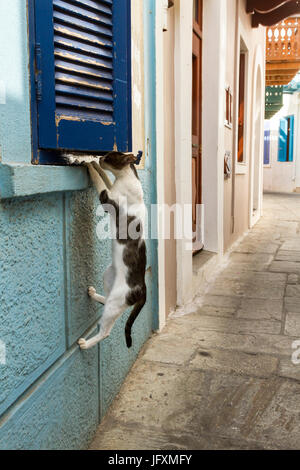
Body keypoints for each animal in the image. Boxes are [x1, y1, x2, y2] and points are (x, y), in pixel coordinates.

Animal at [78, 152, 147, 350]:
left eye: (109, 157)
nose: (100, 157)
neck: (126, 178)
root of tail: (143, 288)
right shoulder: (111, 187)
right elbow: (105, 178)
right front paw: (94, 164)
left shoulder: (106, 198)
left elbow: (98, 181)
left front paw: (90, 165)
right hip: (108, 275)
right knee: (106, 299)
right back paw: (94, 294)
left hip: (116, 301)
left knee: (106, 331)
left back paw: (86, 343)